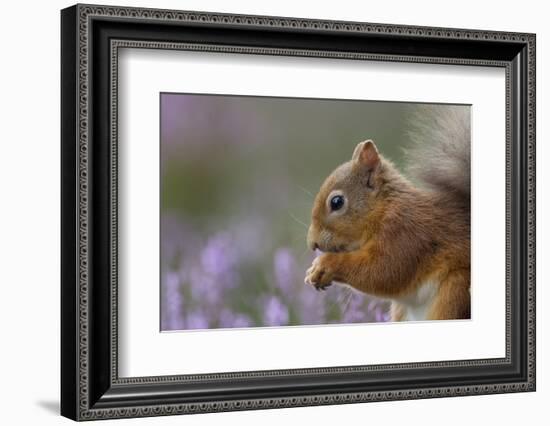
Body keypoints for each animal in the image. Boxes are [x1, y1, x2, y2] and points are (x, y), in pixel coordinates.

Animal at [306, 105, 470, 320]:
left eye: (337, 202)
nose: (312, 243)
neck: (383, 210)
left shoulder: (406, 233)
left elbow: (384, 271)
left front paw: (325, 265)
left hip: (455, 292)